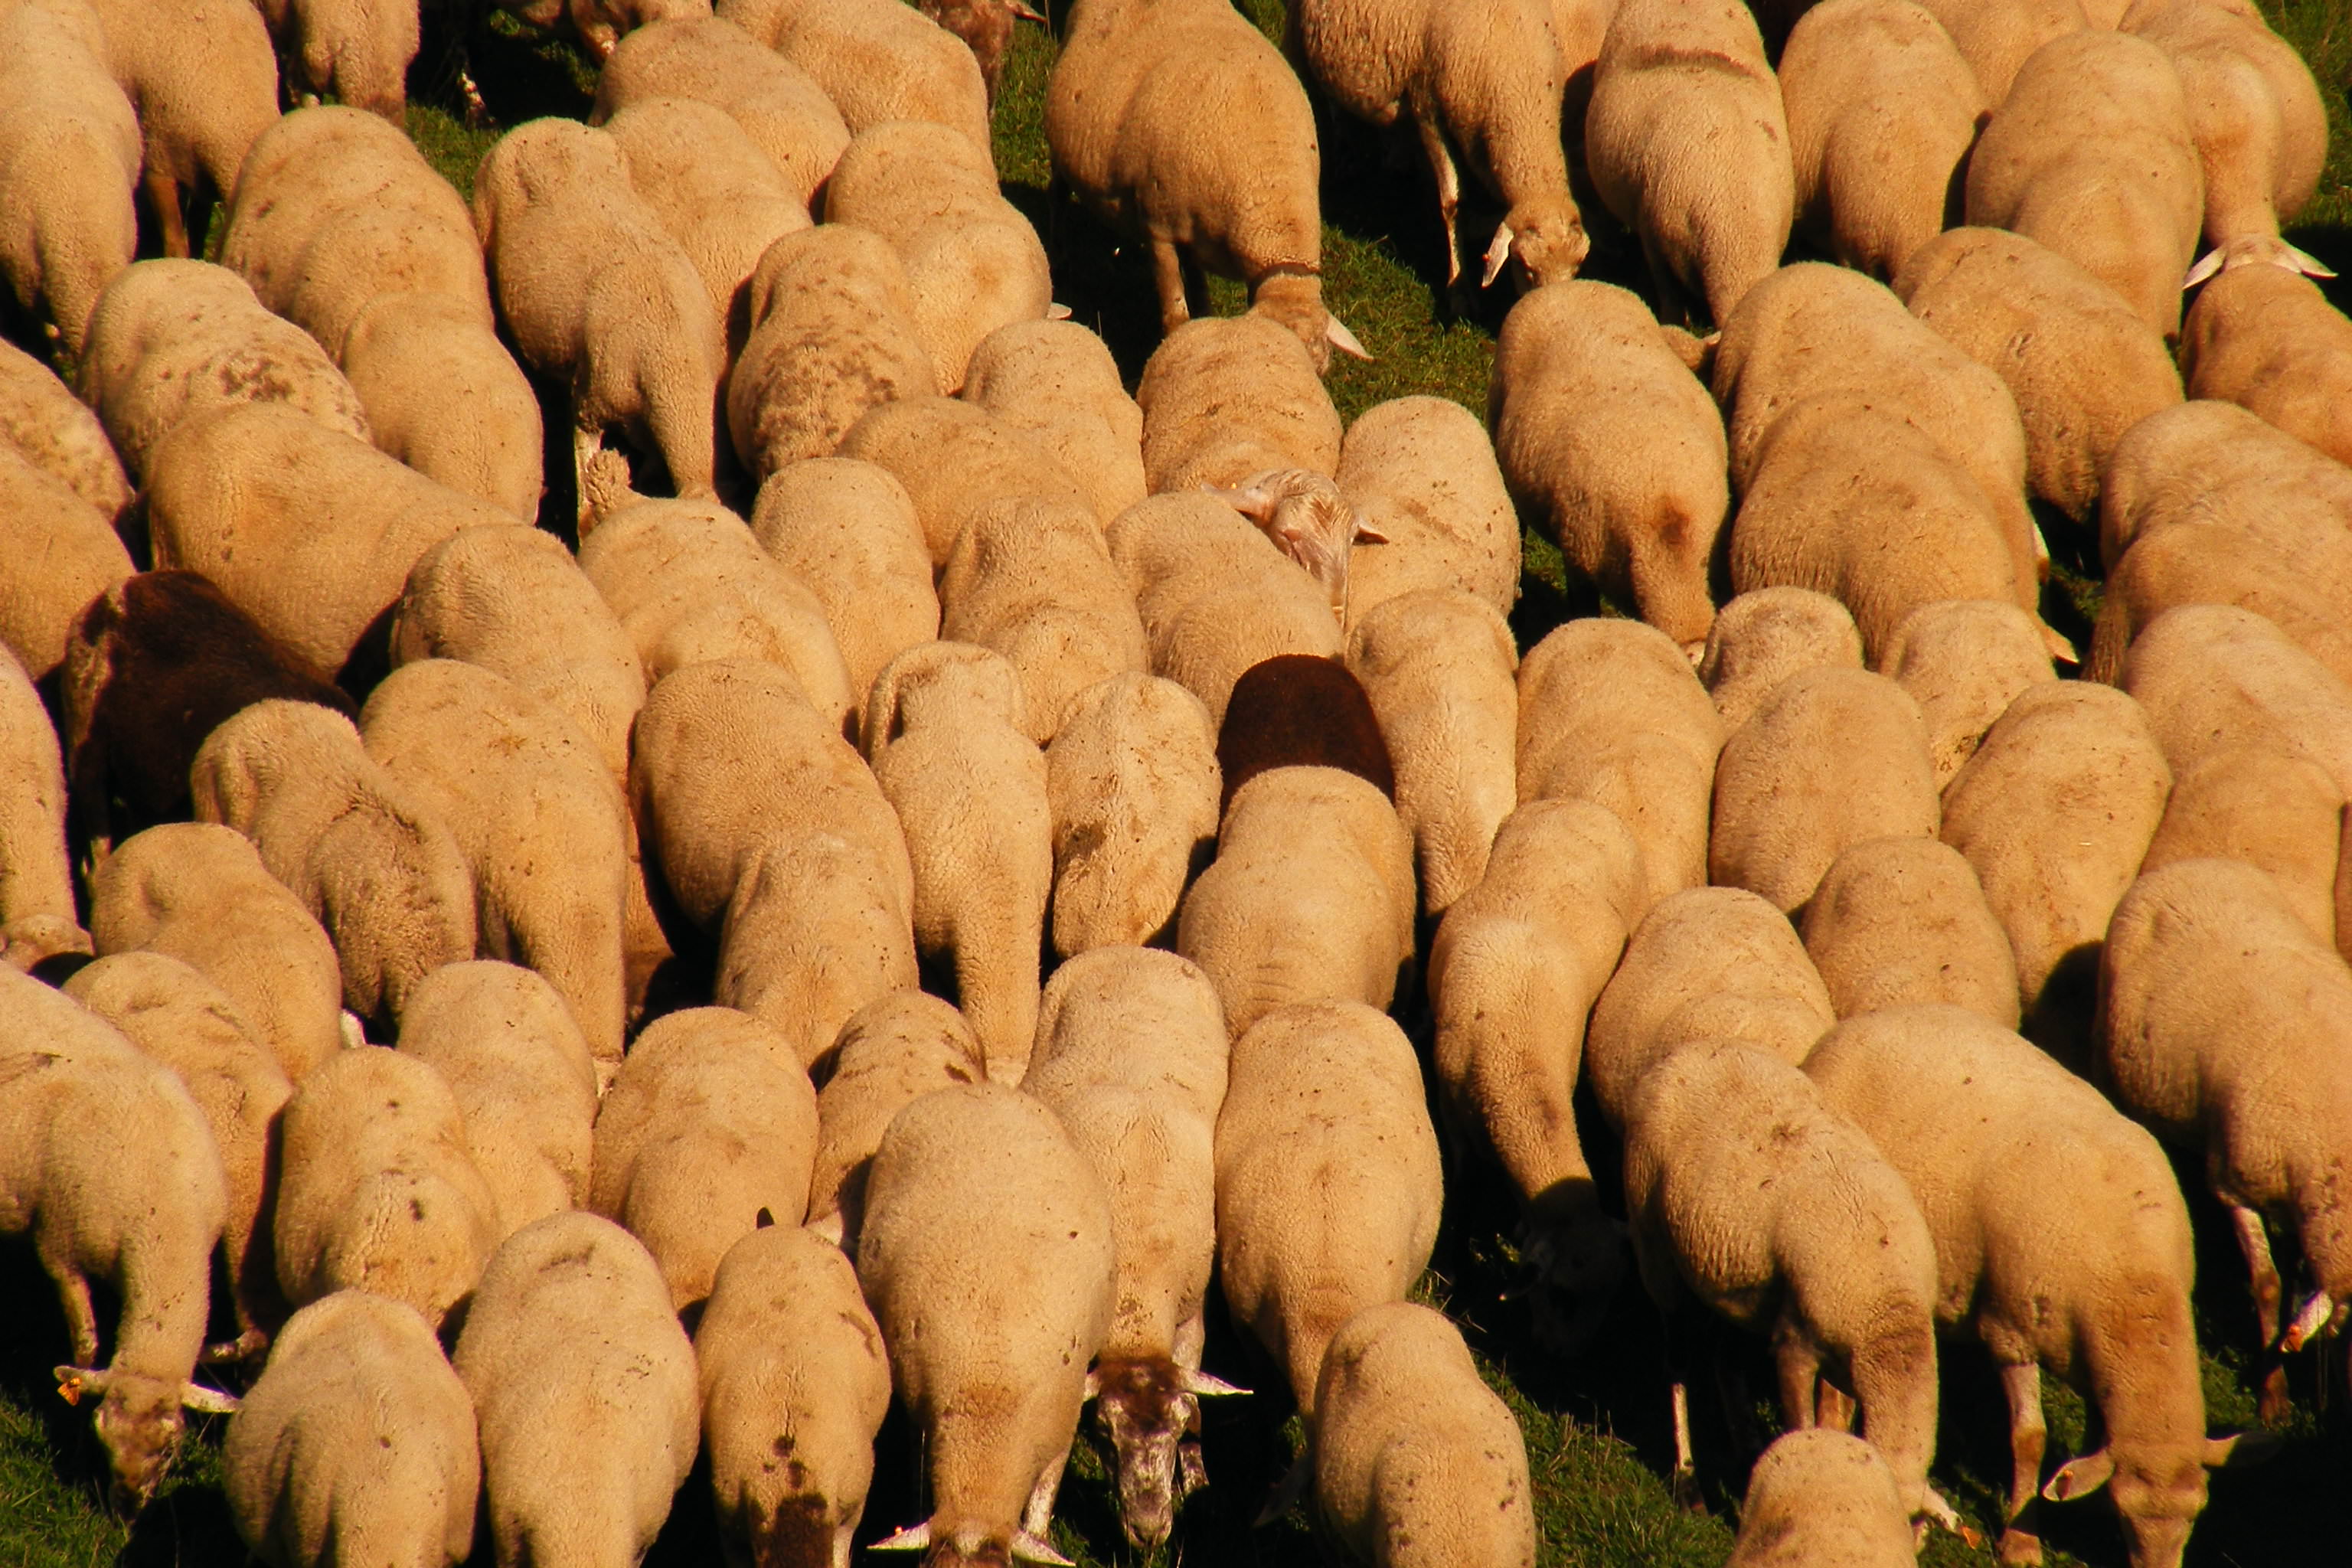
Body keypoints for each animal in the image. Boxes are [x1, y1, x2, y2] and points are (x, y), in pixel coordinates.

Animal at [1024, 947, 1237, 1546]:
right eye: (1104, 1434)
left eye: (1176, 1428)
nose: (1148, 1532)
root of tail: (1131, 951)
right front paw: (1037, 1526)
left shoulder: (1190, 1313)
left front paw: (1198, 1483)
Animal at [1428, 798, 1641, 1348]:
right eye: (1560, 1293)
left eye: (1612, 1299)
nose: (1559, 1355)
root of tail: (1578, 805)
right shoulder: (1454, 1121)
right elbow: (1461, 1195)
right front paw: (1453, 1271)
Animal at [1622, 1041, 1942, 1519]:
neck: (1887, 1305)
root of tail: (1685, 1054)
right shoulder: (1795, 1347)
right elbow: (1801, 1423)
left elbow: (1830, 1421)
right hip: (1656, 1247)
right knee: (1677, 1362)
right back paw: (1688, 1481)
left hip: (1733, 1284)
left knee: (1724, 1356)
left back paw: (1746, 1451)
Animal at [1803, 1005, 2231, 1568]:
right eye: (2126, 1515)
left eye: (2197, 1515)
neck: (2130, 1273)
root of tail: (1850, 1027)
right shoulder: (2009, 1330)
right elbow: (2030, 1437)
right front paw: (2022, 1540)